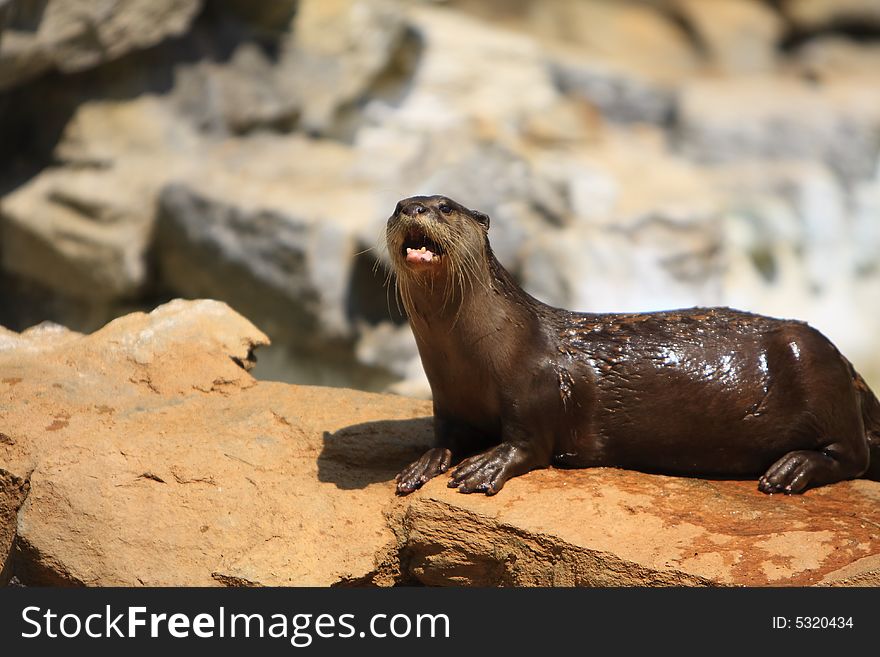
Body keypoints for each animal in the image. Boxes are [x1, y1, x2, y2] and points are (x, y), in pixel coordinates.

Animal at [388, 193, 880, 492]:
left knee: (854, 456)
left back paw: (791, 469)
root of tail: (849, 365)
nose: (413, 208)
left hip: (812, 363)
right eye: (397, 205)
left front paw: (485, 466)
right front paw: (422, 464)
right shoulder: (449, 403)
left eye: (445, 206)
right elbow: (445, 438)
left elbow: (528, 445)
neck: (486, 349)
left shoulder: (537, 389)